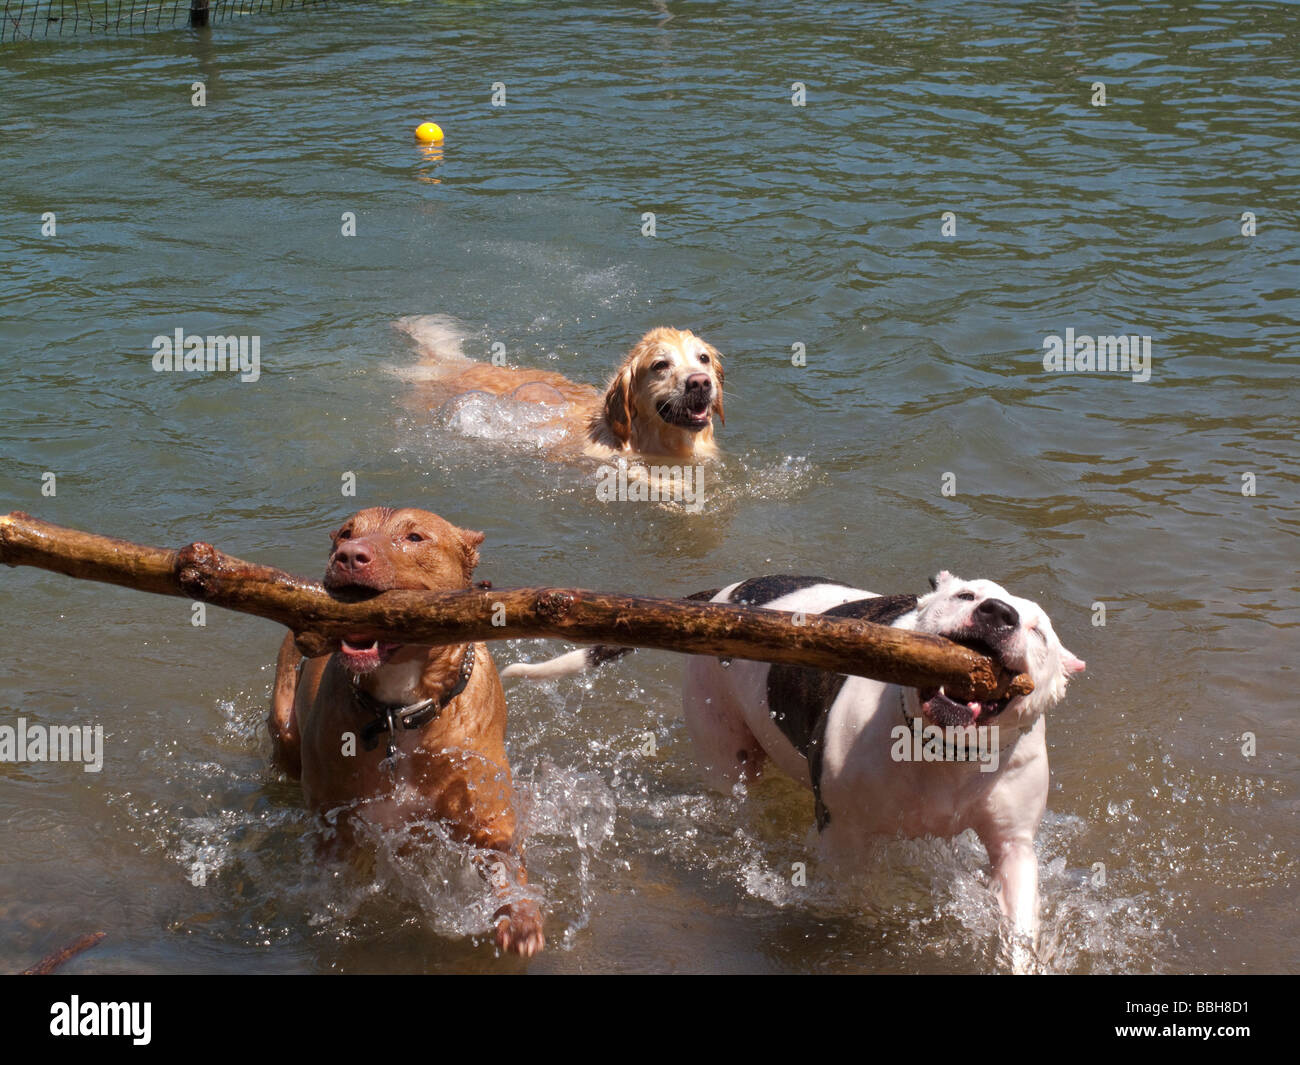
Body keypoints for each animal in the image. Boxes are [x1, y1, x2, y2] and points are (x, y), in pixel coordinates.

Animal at [501, 574, 1081, 967]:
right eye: (967, 597)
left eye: (1040, 633)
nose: (999, 613)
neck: (942, 751)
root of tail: (722, 594)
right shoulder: (844, 834)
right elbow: (855, 899)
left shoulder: (1014, 846)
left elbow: (1019, 921)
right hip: (724, 746)